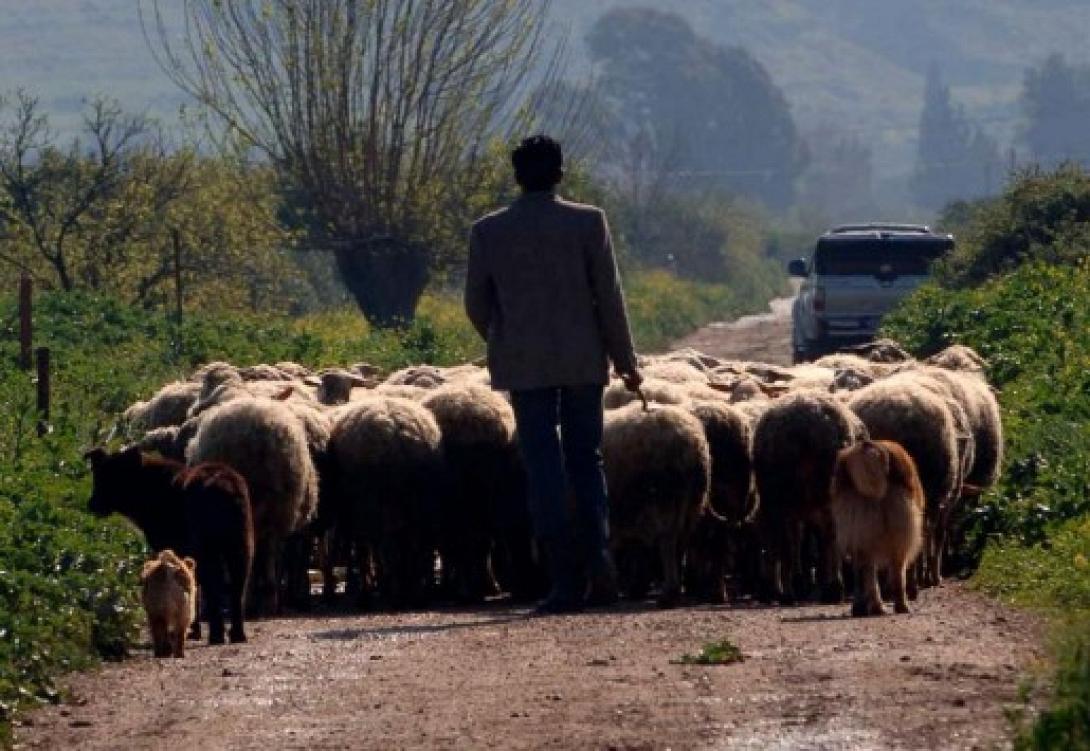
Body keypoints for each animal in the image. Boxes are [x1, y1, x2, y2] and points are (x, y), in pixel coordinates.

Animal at [324, 394, 444, 606]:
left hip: (378, 503)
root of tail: (398, 431)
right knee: (419, 543)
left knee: (388, 546)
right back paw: (415, 591)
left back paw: (391, 592)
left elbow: (362, 551)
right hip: (420, 502)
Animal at [828, 440, 924, 614]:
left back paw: (866, 607)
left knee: (864, 570)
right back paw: (901, 606)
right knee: (897, 571)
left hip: (858, 527)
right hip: (899, 531)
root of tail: (868, 450)